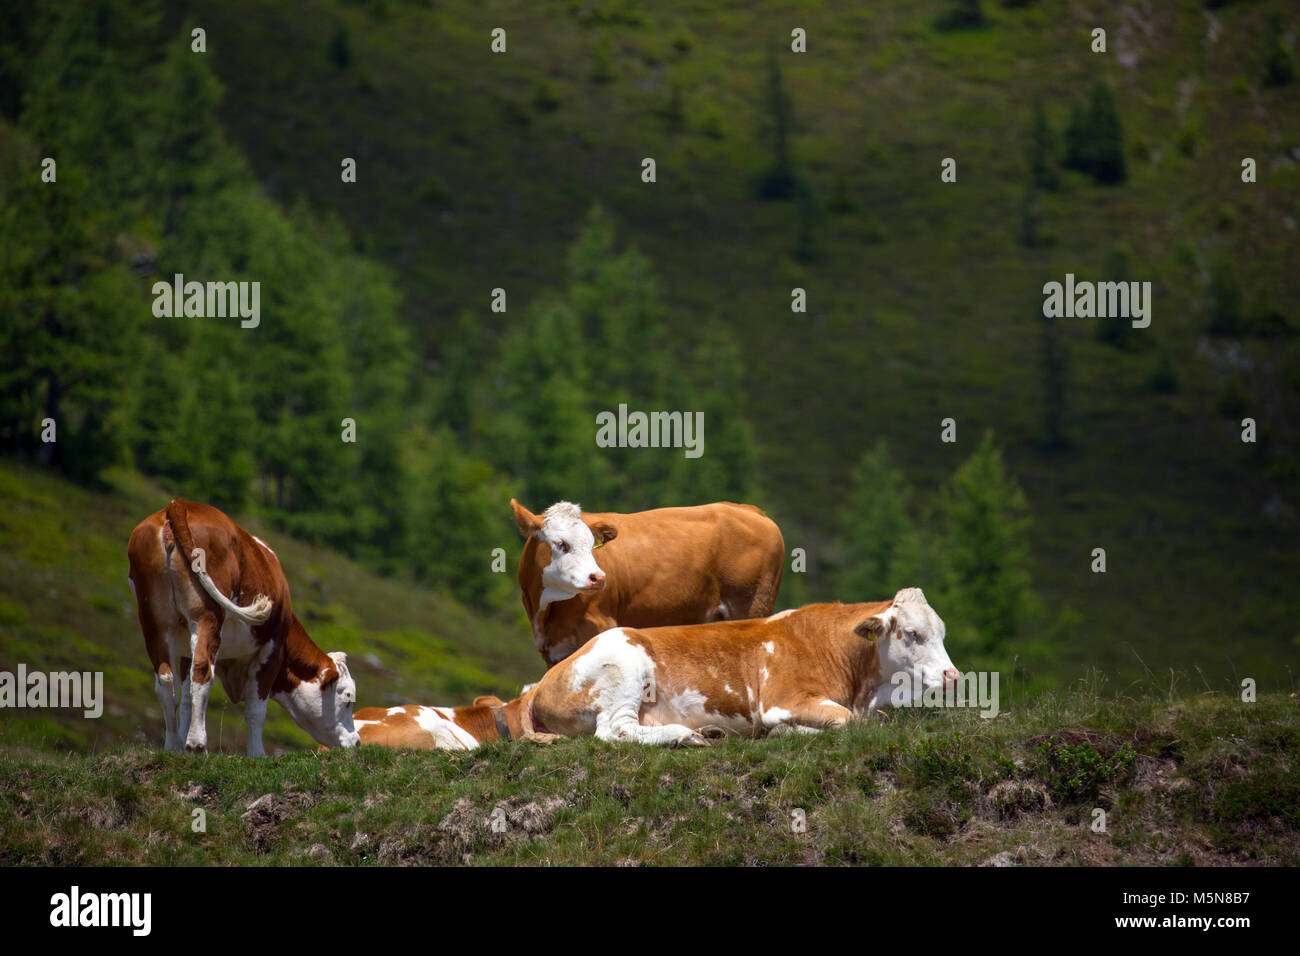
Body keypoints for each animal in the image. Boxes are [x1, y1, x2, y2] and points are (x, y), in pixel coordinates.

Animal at [127, 499, 360, 756]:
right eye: (348, 698)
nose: (357, 741)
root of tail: (179, 504)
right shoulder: (272, 650)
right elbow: (256, 710)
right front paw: (257, 753)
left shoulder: (185, 648)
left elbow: (186, 696)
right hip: (206, 616)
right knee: (203, 671)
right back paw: (198, 744)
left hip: (154, 620)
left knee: (166, 680)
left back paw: (172, 746)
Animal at [511, 499, 785, 667]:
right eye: (560, 543)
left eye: (591, 546)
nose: (598, 578)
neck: (546, 613)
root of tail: (749, 510)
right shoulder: (553, 650)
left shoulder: (600, 626)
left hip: (752, 606)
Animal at [523, 588, 960, 747]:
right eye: (912, 633)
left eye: (942, 631)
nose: (953, 676)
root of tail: (539, 684)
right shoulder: (782, 700)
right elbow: (850, 722)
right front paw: (788, 731)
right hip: (624, 669)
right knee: (614, 731)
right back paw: (686, 736)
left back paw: (708, 731)